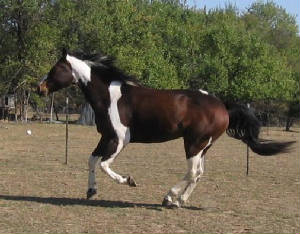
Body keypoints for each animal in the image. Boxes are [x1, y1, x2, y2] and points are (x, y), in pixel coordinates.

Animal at [37, 48, 292, 207]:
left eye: (55, 69)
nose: (40, 88)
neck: (109, 96)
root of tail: (222, 105)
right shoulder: (106, 137)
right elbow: (92, 161)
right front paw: (91, 191)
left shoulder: (119, 140)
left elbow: (104, 165)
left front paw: (129, 180)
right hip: (203, 147)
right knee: (198, 173)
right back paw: (179, 201)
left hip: (193, 143)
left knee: (192, 172)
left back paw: (169, 198)